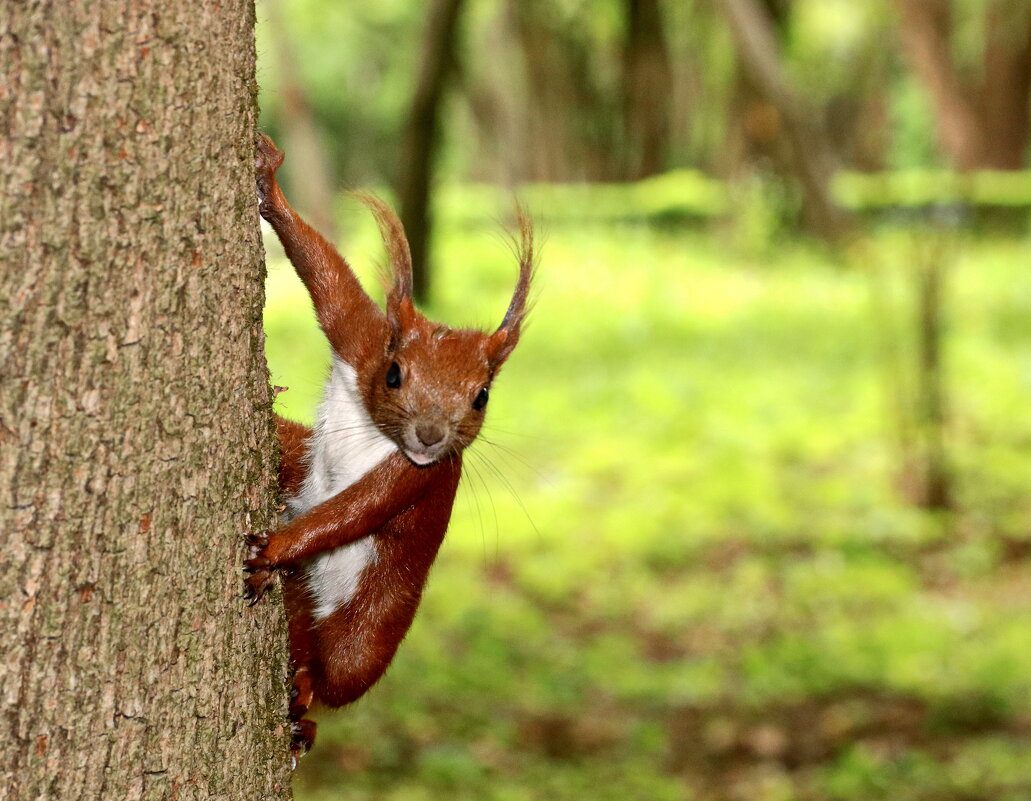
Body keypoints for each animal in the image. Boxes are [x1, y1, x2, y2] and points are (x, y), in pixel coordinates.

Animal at [241, 134, 531, 758]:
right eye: (394, 374)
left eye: (482, 396)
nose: (430, 434)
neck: (377, 433)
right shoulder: (363, 340)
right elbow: (330, 282)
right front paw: (267, 181)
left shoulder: (421, 474)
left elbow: (358, 509)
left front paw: (272, 548)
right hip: (302, 597)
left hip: (372, 628)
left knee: (334, 674)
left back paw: (304, 706)